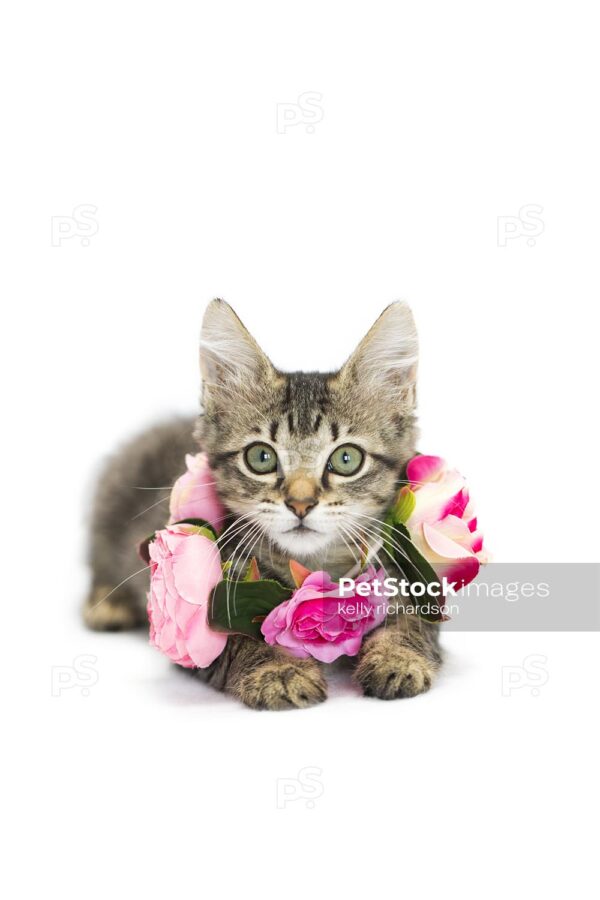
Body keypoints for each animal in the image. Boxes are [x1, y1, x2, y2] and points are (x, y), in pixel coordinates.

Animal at [84, 302, 440, 712]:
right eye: (261, 457)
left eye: (347, 459)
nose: (300, 503)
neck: (312, 565)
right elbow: (242, 641)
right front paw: (280, 671)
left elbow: (410, 625)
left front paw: (399, 659)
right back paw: (107, 605)